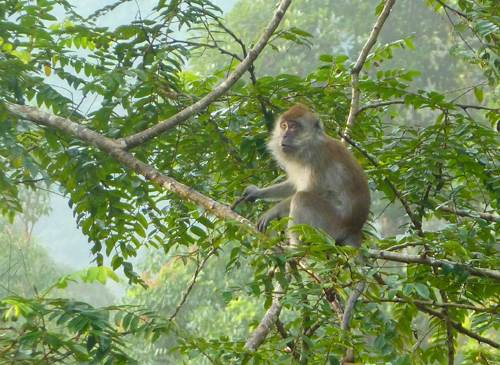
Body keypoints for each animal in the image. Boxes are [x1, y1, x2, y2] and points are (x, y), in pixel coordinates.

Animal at [244, 104, 370, 249]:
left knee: (301, 198)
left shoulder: (317, 157)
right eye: (283, 126)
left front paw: (272, 212)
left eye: (293, 126)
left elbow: (309, 190)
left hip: (331, 224)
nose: (284, 135)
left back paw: (296, 249)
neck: (308, 145)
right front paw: (256, 192)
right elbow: (294, 185)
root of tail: (354, 230)